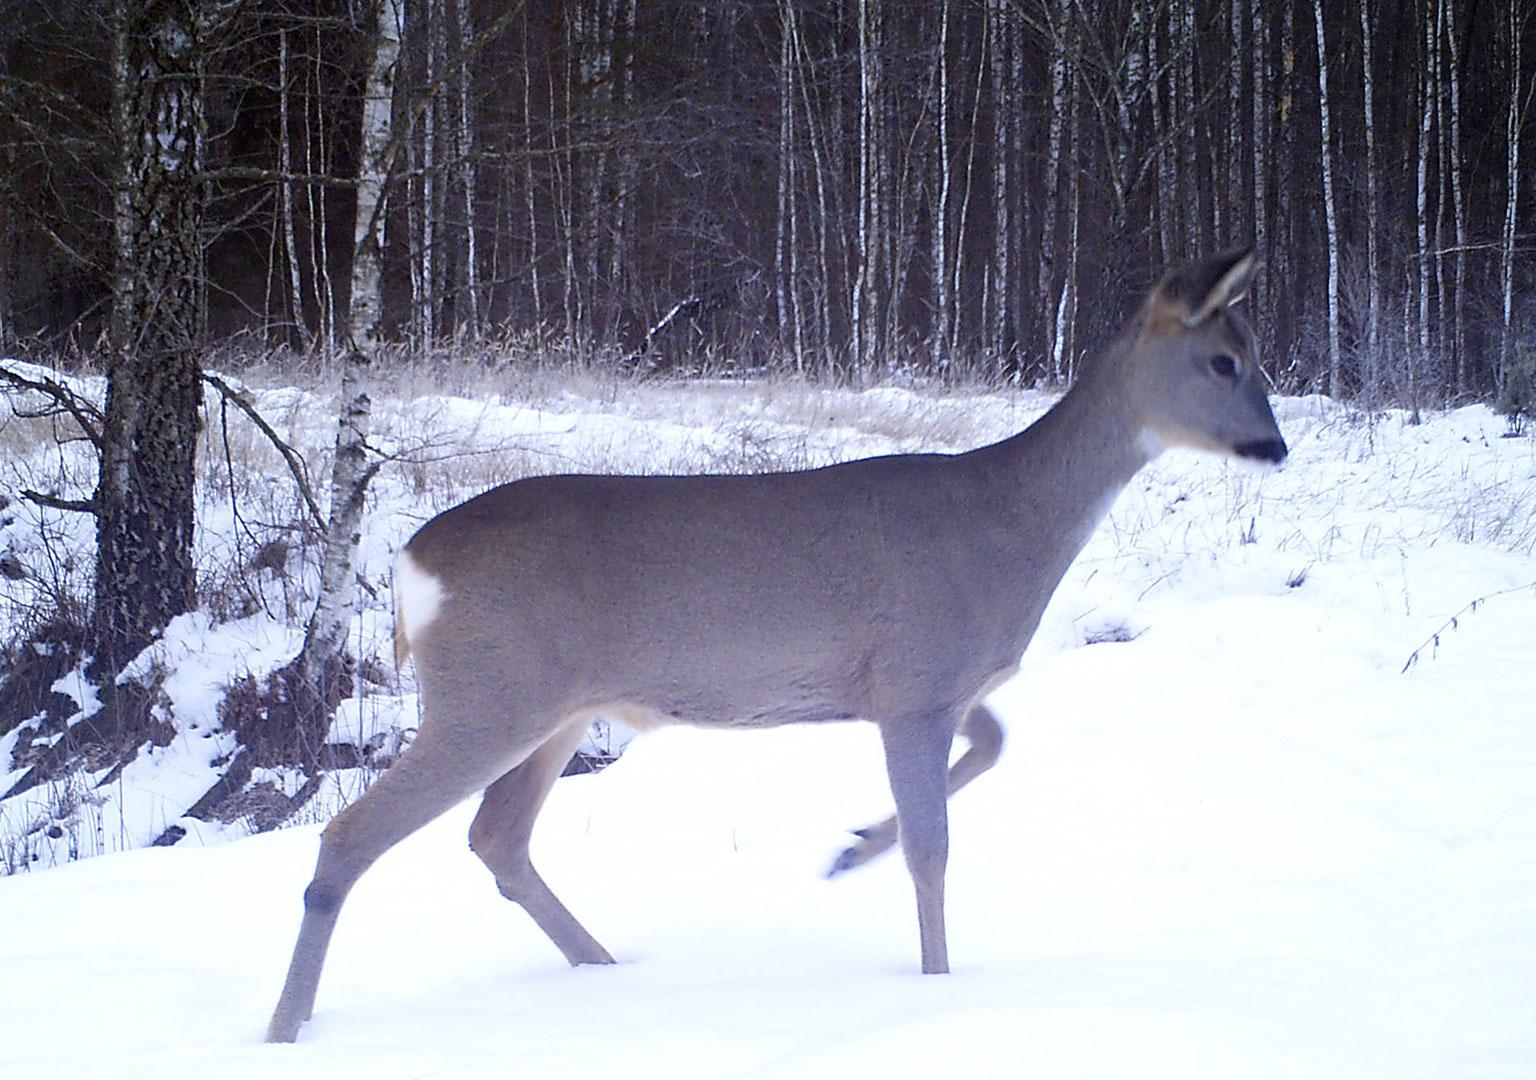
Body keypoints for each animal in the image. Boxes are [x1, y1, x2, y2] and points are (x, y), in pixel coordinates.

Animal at [264, 245, 1284, 1038]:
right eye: (1224, 362)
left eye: (1257, 359)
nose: (1275, 448)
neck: (1012, 524)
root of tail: (408, 561)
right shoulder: (916, 681)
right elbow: (934, 847)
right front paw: (936, 987)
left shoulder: (919, 685)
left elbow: (995, 745)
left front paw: (848, 848)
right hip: (492, 691)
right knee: (351, 837)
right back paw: (287, 1029)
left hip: (556, 707)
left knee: (496, 839)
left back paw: (606, 969)